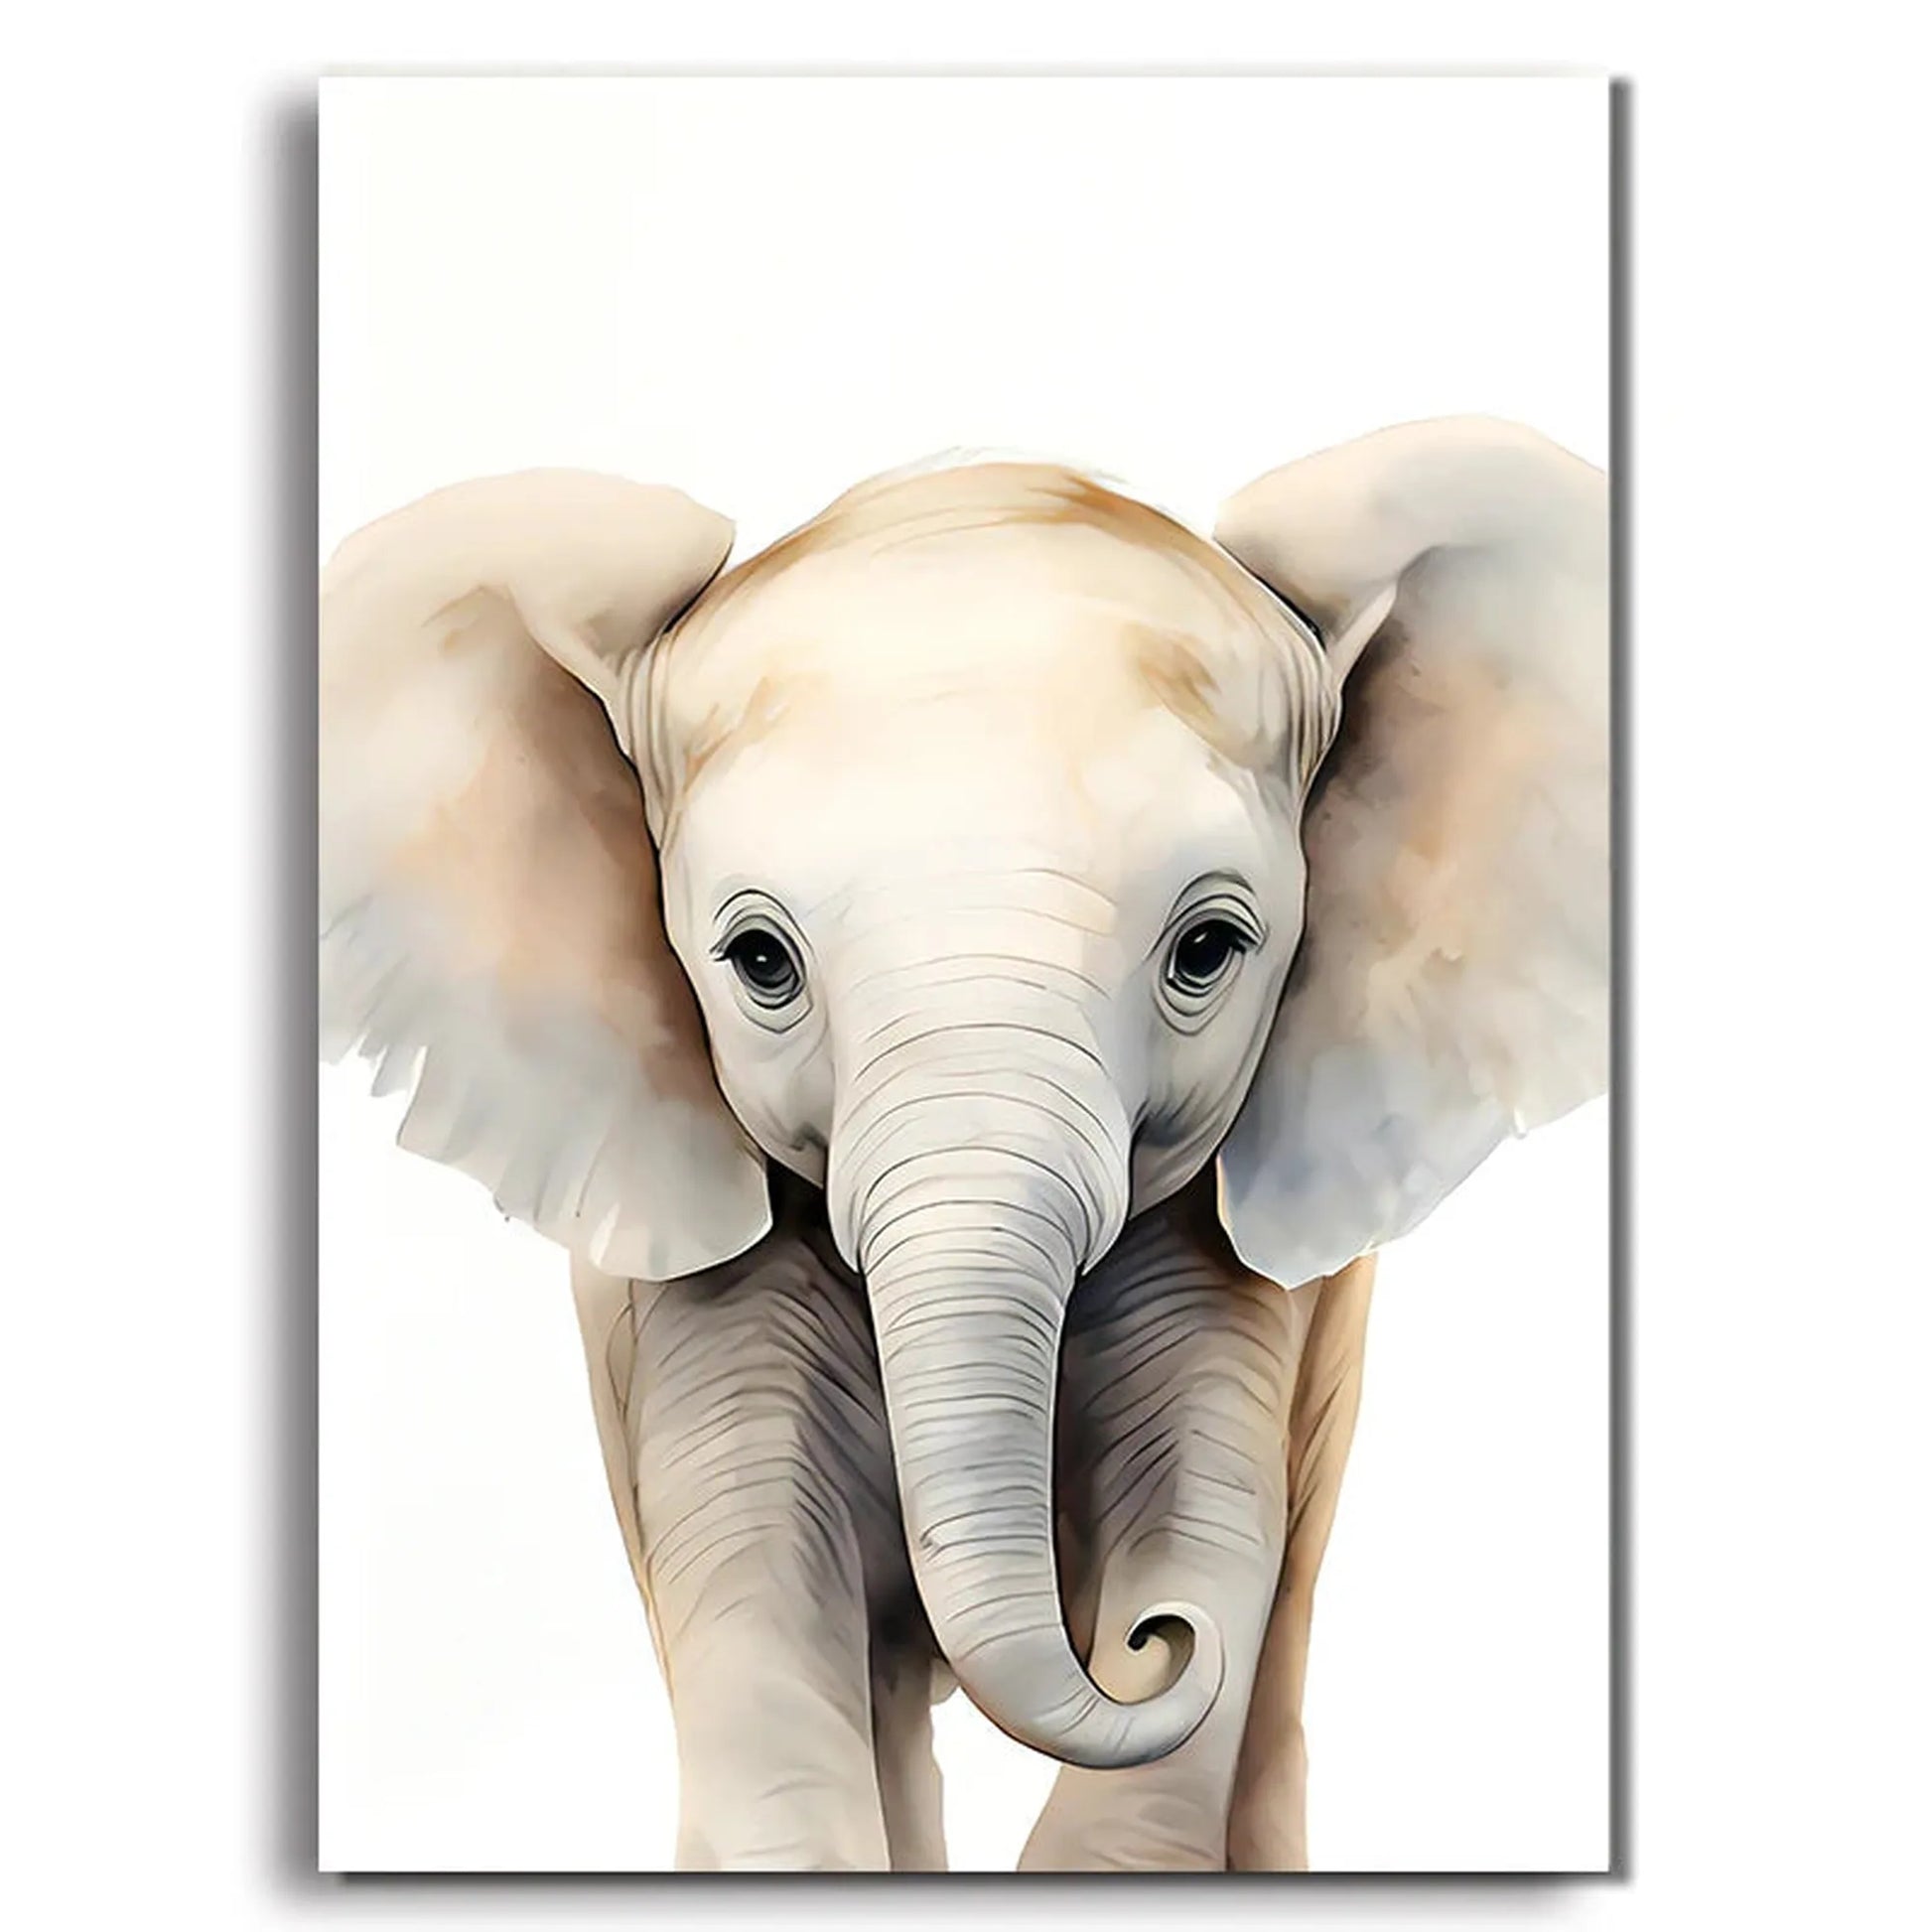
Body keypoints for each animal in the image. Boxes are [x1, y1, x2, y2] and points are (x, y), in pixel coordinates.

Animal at [318, 417, 1609, 1870]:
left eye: (1208, 948)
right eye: (756, 960)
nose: (1152, 1646)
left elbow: (1204, 1519)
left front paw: (1179, 1612)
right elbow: (763, 1595)